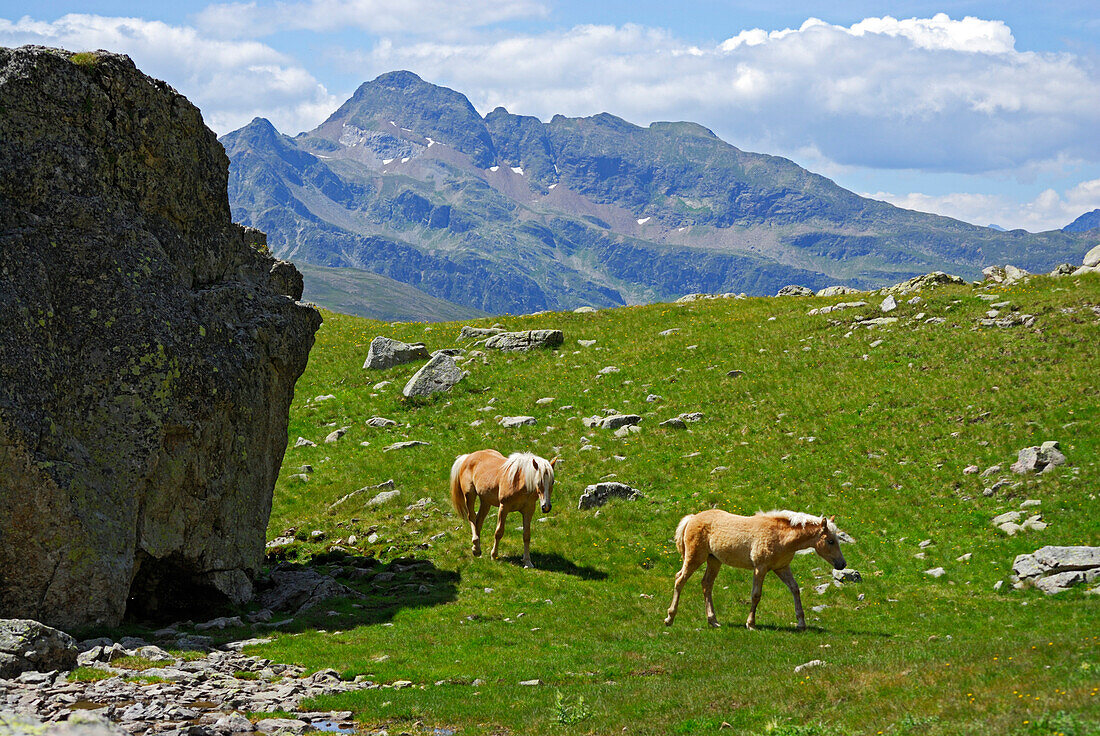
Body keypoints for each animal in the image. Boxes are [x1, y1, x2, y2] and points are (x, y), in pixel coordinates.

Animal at [660, 508, 849, 629]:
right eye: (830, 541)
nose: (842, 564)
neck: (781, 536)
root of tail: (692, 518)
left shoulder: (782, 568)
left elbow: (795, 589)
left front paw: (801, 623)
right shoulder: (760, 568)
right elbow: (756, 595)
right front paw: (750, 624)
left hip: (714, 560)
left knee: (706, 584)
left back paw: (713, 621)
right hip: (694, 558)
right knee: (680, 579)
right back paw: (669, 618)